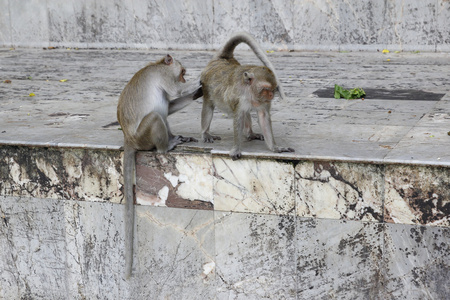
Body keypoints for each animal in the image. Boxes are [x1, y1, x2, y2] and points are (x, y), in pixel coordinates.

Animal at [118, 54, 199, 278]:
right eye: (182, 73)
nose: (184, 78)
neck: (156, 65)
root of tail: (128, 139)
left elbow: (170, 106)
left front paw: (197, 93)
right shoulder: (163, 76)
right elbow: (175, 92)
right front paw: (201, 81)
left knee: (162, 114)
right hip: (144, 137)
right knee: (156, 117)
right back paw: (166, 146)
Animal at [199, 31, 294, 161]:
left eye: (273, 89)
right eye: (266, 88)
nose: (271, 95)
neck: (251, 92)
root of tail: (222, 59)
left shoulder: (263, 102)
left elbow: (263, 117)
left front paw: (275, 148)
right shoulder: (238, 97)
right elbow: (239, 117)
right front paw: (236, 149)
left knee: (247, 113)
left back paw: (250, 133)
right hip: (206, 85)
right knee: (209, 106)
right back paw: (205, 133)